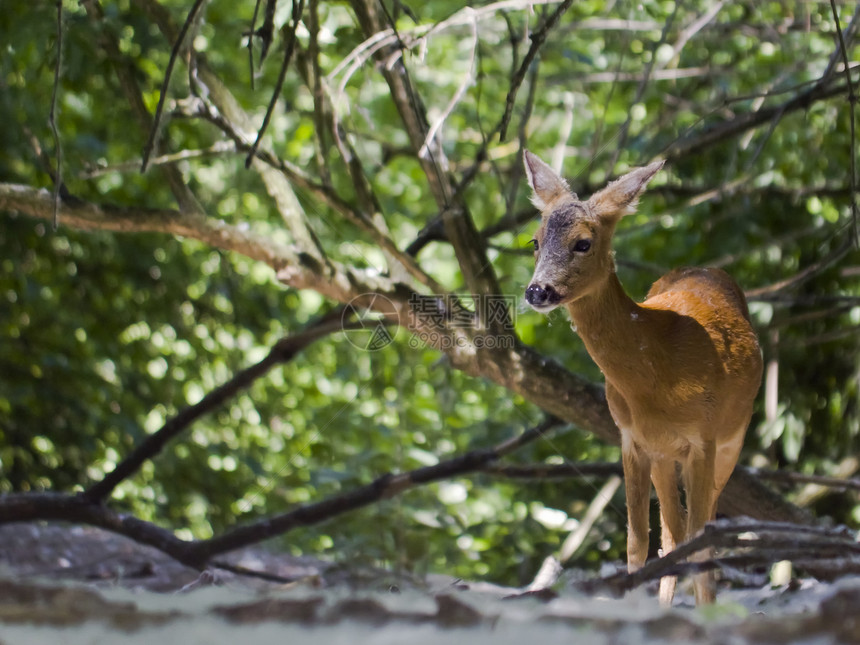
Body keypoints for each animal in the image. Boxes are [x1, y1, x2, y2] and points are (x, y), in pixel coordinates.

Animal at [520, 151, 764, 604]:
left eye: (583, 242)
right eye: (535, 241)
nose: (538, 291)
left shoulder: (703, 438)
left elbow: (699, 537)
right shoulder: (631, 437)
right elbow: (637, 541)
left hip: (732, 438)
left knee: (701, 526)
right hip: (665, 455)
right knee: (671, 532)